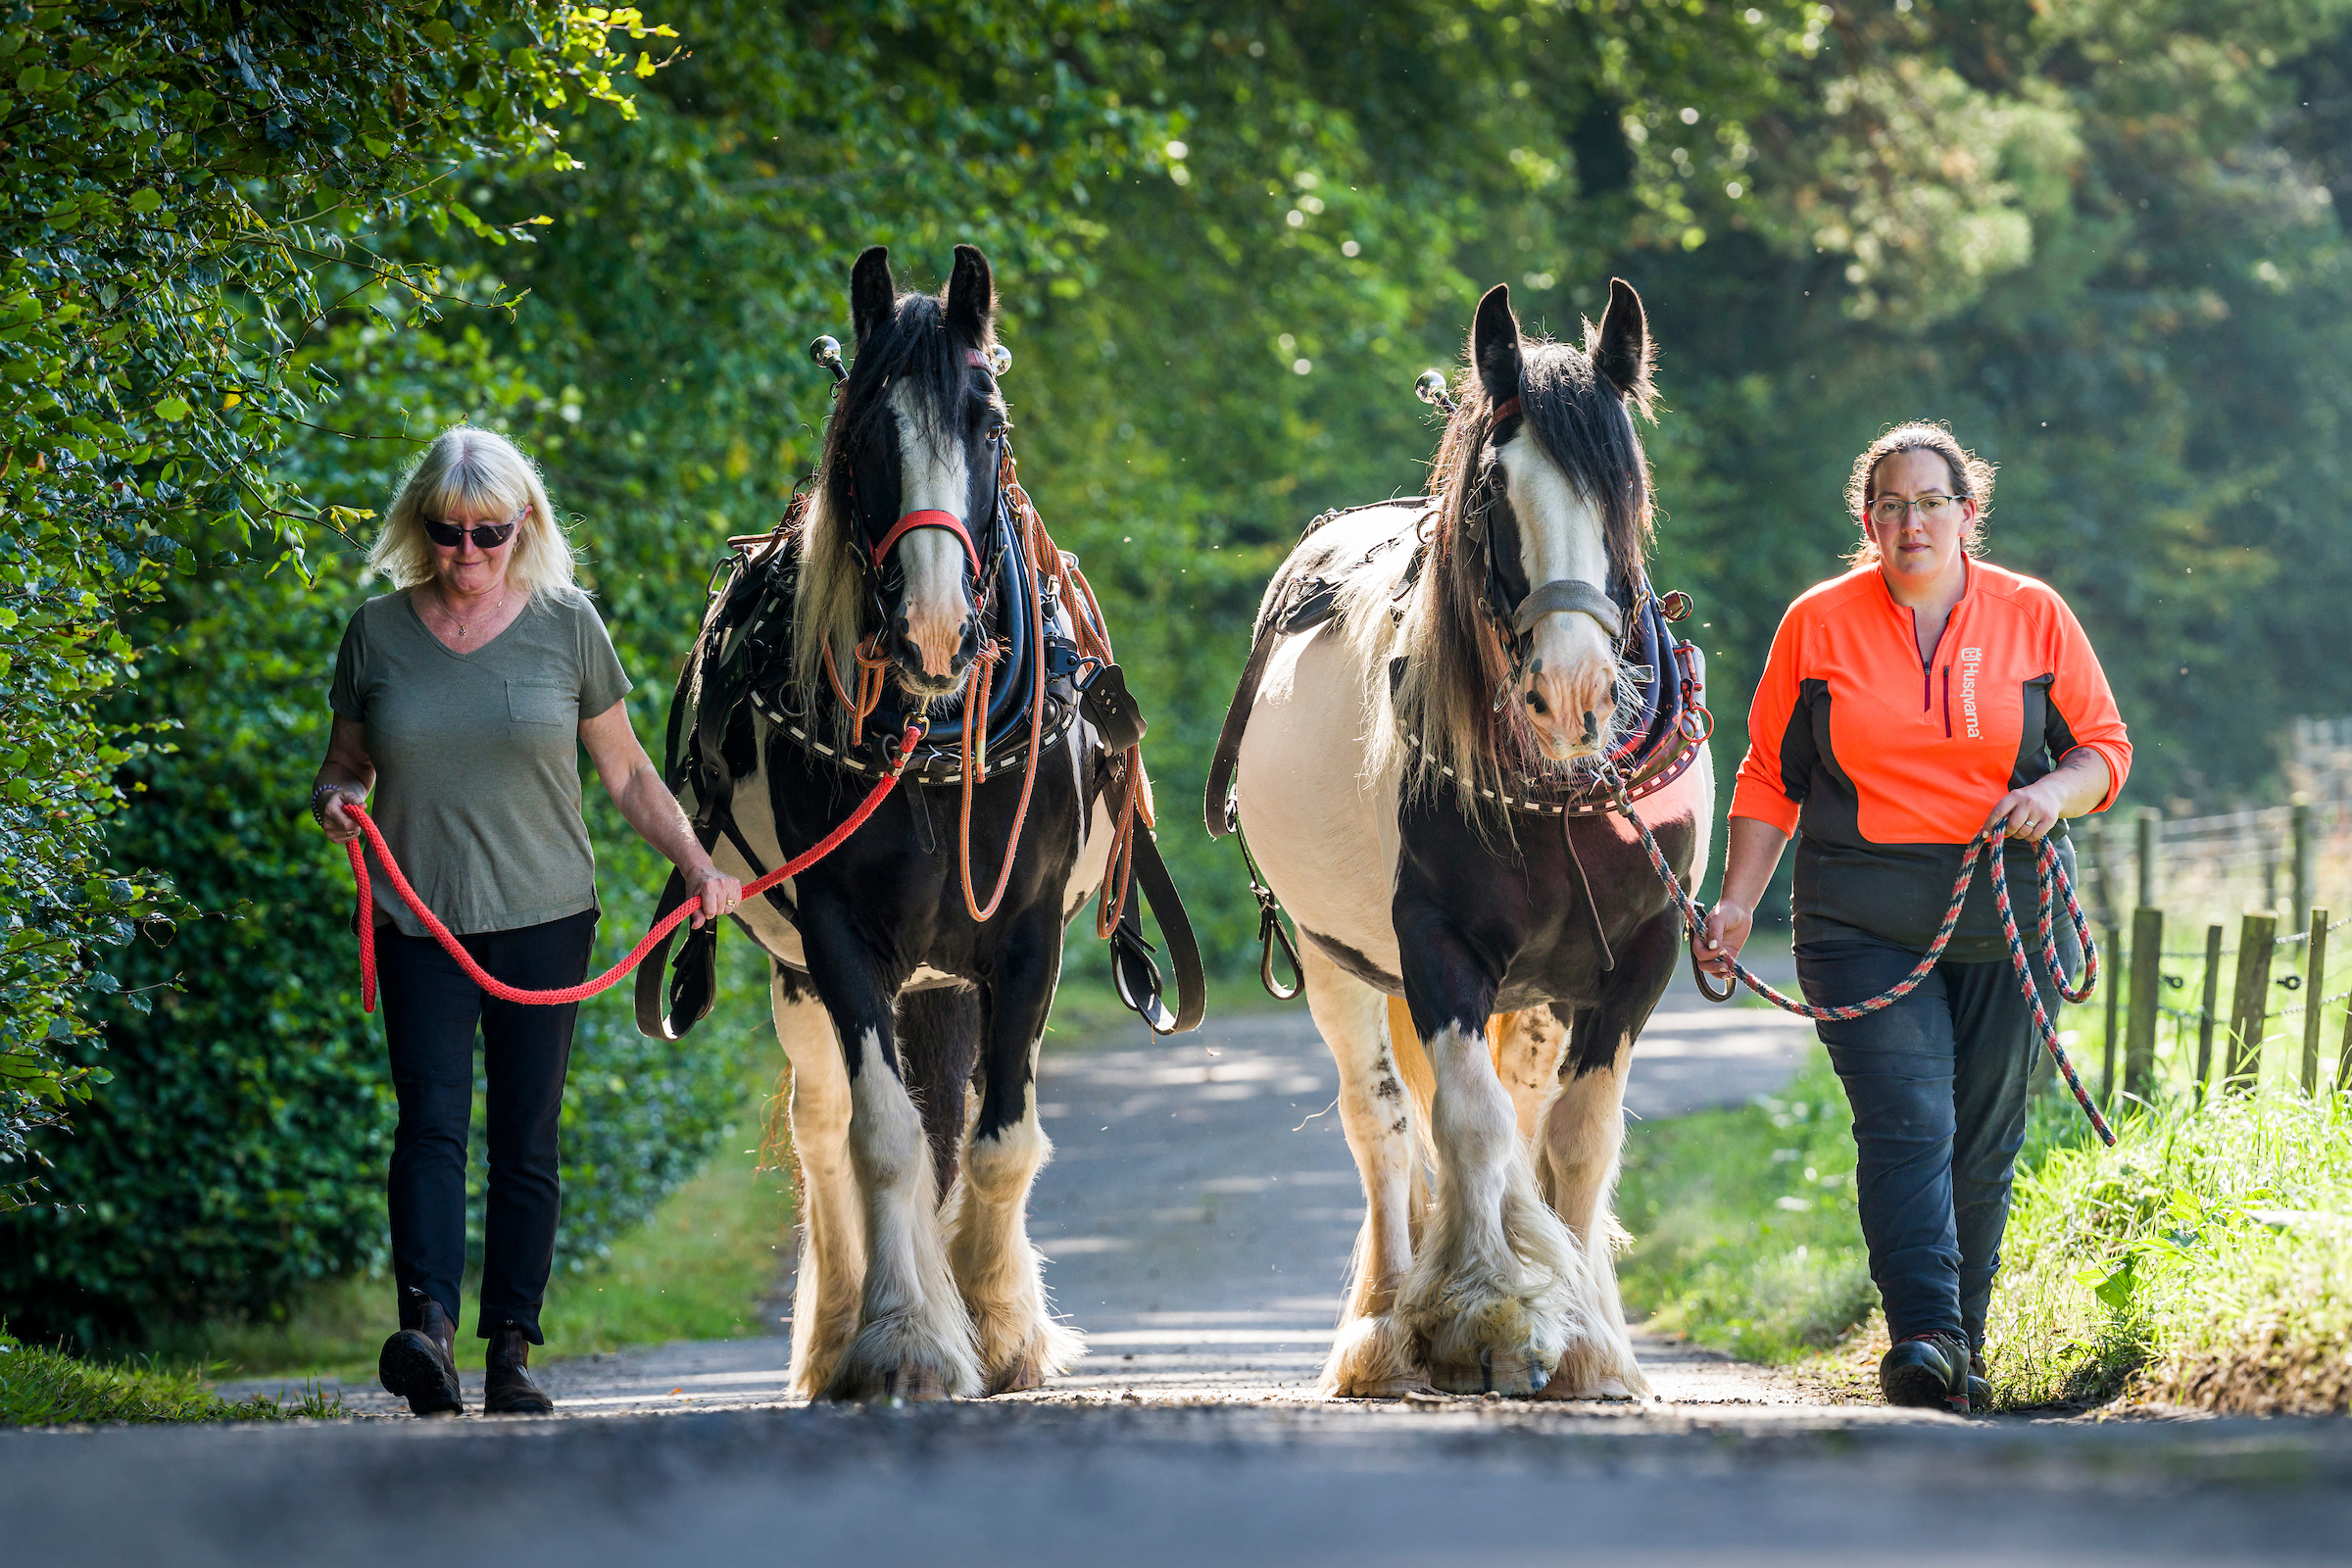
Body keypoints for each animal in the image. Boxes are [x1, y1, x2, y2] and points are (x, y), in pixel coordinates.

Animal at [672, 251, 1119, 1400]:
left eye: (990, 422)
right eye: (868, 430)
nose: (933, 627)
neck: (930, 735)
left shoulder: (1025, 935)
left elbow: (999, 1138)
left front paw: (999, 1329)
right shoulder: (837, 936)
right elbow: (881, 1136)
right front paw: (904, 1338)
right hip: (800, 974)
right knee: (827, 1127)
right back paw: (836, 1331)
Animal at [1232, 278, 1712, 1400]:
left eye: (1626, 485)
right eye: (1498, 490)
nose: (1574, 691)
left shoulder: (1640, 956)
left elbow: (1577, 1136)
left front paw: (1591, 1341)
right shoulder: (1437, 947)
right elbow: (1469, 1124)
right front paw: (1484, 1313)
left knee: (1524, 1110)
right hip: (1338, 959)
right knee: (1383, 1124)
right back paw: (1381, 1326)